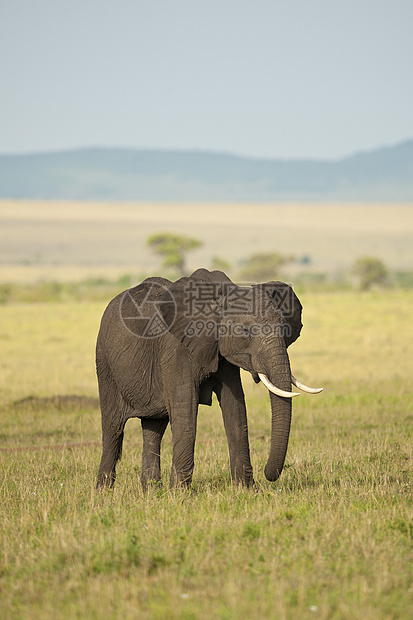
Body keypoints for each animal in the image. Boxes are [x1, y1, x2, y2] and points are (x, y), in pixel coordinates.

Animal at [96, 266, 322, 490]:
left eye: (284, 328)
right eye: (246, 330)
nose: (268, 475)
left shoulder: (221, 351)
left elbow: (235, 407)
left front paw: (246, 489)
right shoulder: (176, 348)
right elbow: (186, 407)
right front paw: (180, 493)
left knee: (154, 427)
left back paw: (151, 490)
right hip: (105, 364)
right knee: (113, 428)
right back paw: (104, 491)